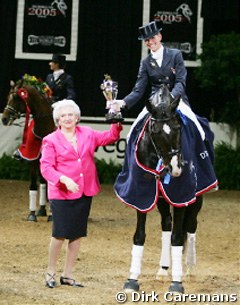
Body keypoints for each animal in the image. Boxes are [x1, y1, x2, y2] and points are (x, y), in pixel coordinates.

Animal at [1, 77, 55, 221]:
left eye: (16, 98)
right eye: (7, 97)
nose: (4, 119)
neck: (43, 130)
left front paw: (52, 216)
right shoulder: (32, 158)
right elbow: (33, 185)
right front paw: (32, 214)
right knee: (42, 182)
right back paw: (41, 210)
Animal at [114, 83, 218, 292]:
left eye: (178, 128)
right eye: (156, 131)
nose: (176, 169)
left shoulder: (181, 196)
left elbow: (178, 237)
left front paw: (176, 284)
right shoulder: (142, 195)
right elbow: (139, 235)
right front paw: (132, 280)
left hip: (197, 197)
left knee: (191, 225)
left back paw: (189, 270)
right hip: (161, 198)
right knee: (166, 225)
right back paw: (163, 270)